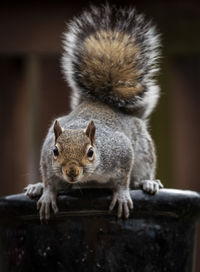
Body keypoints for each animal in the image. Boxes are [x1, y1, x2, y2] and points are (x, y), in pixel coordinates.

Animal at [24, 3, 163, 221]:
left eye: (90, 152)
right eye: (55, 151)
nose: (71, 172)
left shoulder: (122, 151)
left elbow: (123, 180)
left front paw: (122, 196)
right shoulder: (47, 158)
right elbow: (49, 180)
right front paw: (46, 194)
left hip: (143, 151)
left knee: (140, 175)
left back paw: (148, 183)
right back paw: (36, 187)